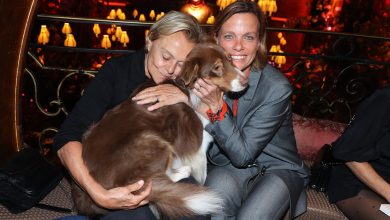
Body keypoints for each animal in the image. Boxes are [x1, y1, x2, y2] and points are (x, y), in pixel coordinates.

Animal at [72, 42, 248, 218]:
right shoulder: (198, 144)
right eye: (217, 67)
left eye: (230, 58)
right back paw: (182, 172)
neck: (189, 88)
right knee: (153, 181)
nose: (246, 82)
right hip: (153, 141)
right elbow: (202, 170)